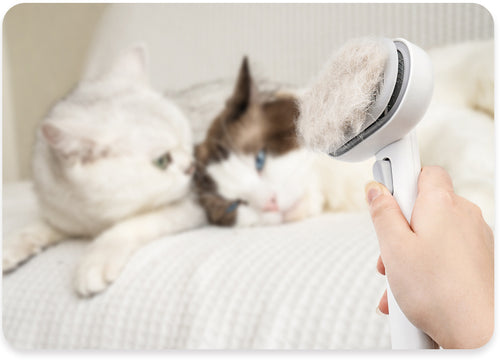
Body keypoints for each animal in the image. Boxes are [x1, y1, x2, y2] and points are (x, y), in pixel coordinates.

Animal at [1, 44, 205, 298]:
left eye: (190, 143)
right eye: (162, 161)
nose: (193, 165)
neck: (94, 218)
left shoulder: (197, 203)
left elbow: (132, 224)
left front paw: (96, 260)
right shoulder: (64, 216)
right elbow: (37, 227)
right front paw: (12, 245)